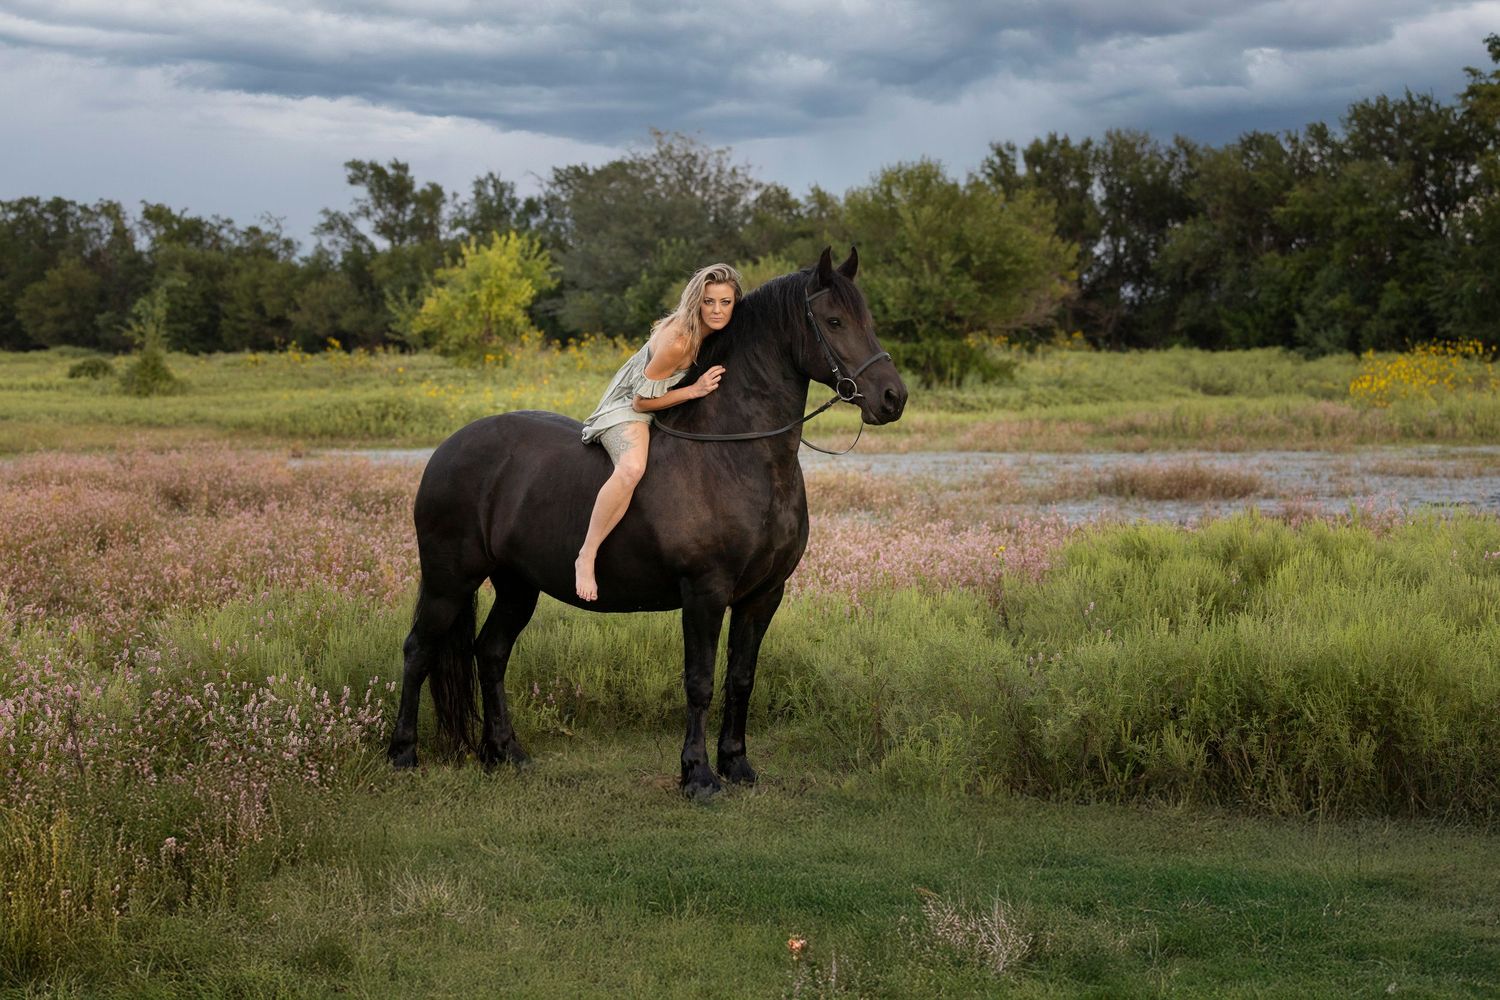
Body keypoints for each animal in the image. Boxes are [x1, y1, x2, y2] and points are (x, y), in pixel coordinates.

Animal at [386, 246, 908, 797]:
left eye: (867, 320)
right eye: (833, 321)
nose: (892, 398)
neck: (736, 455)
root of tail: (448, 448)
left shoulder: (763, 596)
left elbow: (741, 678)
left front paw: (737, 765)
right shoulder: (705, 593)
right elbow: (699, 682)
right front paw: (698, 776)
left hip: (516, 585)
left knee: (490, 653)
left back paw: (505, 752)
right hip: (449, 581)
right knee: (419, 650)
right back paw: (403, 754)